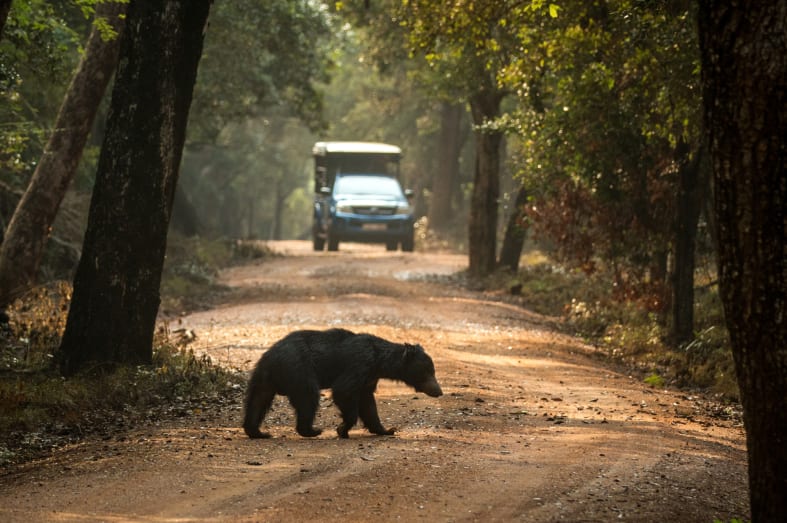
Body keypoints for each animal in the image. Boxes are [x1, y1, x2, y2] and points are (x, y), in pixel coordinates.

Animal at [243, 328, 443, 439]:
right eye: (428, 372)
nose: (439, 391)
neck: (379, 363)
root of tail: (271, 356)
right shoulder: (359, 364)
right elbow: (344, 390)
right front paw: (342, 429)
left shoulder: (369, 378)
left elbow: (368, 404)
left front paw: (386, 430)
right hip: (300, 369)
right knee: (308, 396)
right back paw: (312, 430)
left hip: (263, 378)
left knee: (257, 400)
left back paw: (258, 432)